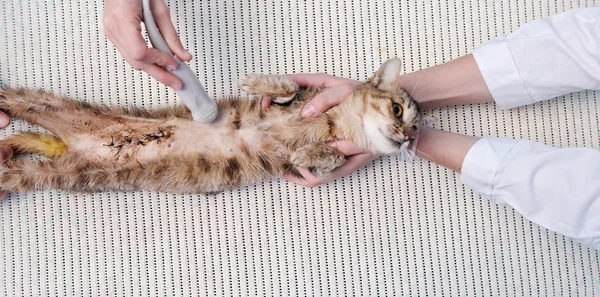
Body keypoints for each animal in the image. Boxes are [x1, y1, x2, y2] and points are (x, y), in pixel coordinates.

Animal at [0, 57, 426, 193]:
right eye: (398, 111)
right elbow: (289, 87)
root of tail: (68, 143)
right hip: (35, 102)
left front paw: (311, 153)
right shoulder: (302, 98)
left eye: (415, 129)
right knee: (13, 99)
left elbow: (329, 160)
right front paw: (257, 83)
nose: (408, 139)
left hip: (47, 174)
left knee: (15, 170)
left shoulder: (315, 164)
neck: (333, 124)